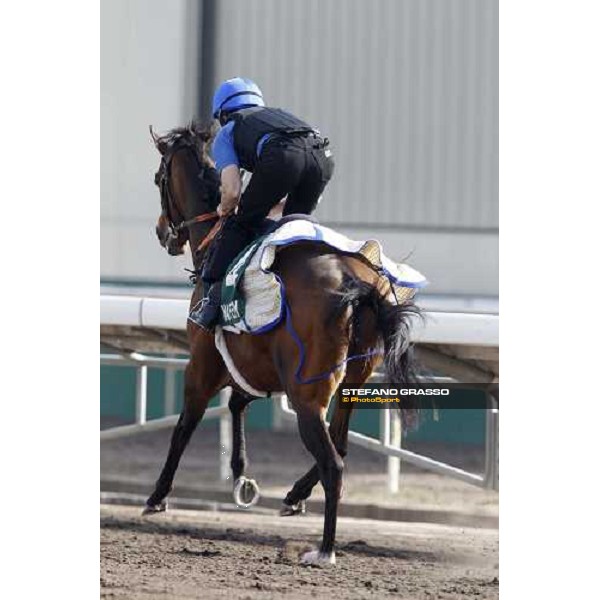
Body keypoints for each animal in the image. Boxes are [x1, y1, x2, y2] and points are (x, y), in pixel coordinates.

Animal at [145, 120, 420, 564]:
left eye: (159, 178)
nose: (161, 232)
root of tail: (356, 283)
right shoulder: (257, 364)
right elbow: (238, 403)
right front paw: (242, 478)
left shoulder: (203, 363)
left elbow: (185, 424)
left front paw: (157, 496)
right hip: (352, 382)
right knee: (340, 444)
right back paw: (294, 495)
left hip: (307, 393)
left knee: (333, 463)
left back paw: (324, 550)